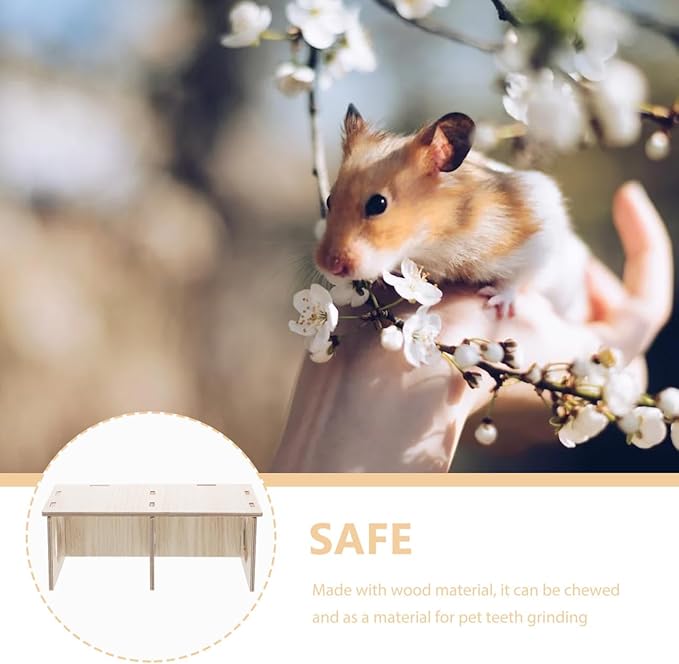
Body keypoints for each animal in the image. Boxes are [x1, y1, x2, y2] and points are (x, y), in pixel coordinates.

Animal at [315, 104, 589, 320]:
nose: (328, 266)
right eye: (329, 200)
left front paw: (496, 302)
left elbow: (519, 277)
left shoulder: (539, 233)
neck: (436, 239)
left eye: (378, 204)